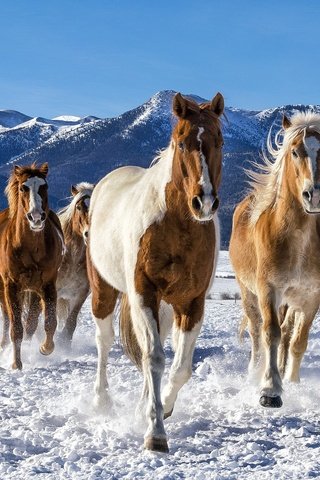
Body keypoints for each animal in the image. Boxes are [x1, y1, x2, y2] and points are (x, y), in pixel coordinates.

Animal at [0, 163, 64, 370]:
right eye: (23, 188)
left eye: (45, 186)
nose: (36, 217)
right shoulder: (11, 286)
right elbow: (16, 328)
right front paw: (16, 363)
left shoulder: (48, 284)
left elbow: (49, 321)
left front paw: (45, 348)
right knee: (7, 318)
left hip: (34, 290)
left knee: (31, 322)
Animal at [24, 182, 94, 344]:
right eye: (78, 207)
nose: (88, 234)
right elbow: (38, 319)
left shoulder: (80, 294)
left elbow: (70, 324)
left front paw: (64, 344)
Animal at [86, 91, 224, 454]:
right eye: (181, 142)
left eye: (219, 140)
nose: (204, 202)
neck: (176, 226)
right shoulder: (143, 294)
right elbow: (154, 358)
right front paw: (155, 432)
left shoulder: (192, 303)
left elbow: (180, 368)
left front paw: (162, 408)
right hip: (104, 291)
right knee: (104, 341)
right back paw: (101, 402)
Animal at [230, 112, 320, 408]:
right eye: (295, 151)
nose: (314, 195)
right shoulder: (268, 290)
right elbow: (271, 333)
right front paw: (269, 390)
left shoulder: (311, 296)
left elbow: (298, 340)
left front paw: (291, 381)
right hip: (248, 292)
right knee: (256, 331)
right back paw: (253, 372)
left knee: (288, 332)